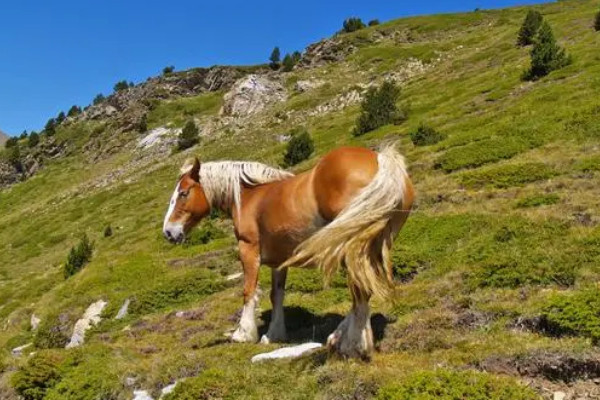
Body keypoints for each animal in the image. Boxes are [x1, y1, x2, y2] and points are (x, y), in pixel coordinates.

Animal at [164, 145, 418, 358]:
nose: (168, 232)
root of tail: (381, 160)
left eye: (184, 193)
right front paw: (274, 334)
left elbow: (248, 291)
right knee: (364, 291)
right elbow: (277, 295)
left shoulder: (248, 249)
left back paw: (351, 345)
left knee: (360, 291)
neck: (250, 196)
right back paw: (340, 337)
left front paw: (243, 334)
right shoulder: (279, 261)